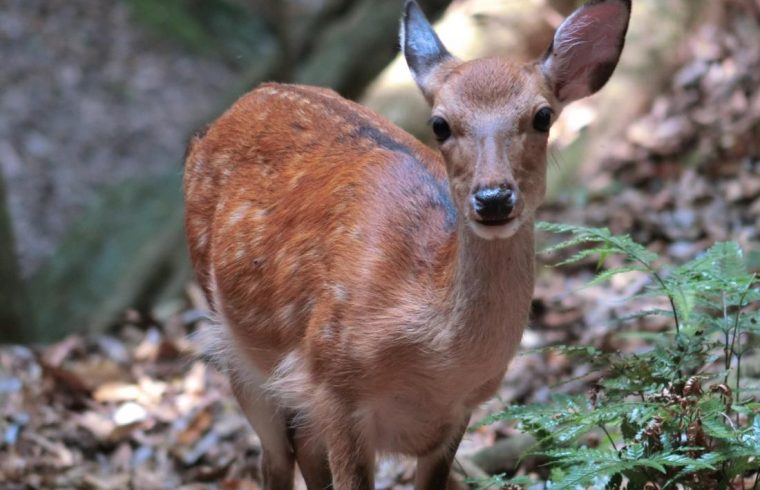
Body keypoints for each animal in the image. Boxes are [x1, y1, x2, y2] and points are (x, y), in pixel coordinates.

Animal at [183, 0, 628, 486]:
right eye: (440, 124)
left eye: (543, 116)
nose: (493, 198)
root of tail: (247, 97)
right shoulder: (333, 383)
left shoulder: (458, 412)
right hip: (234, 345)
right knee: (274, 456)